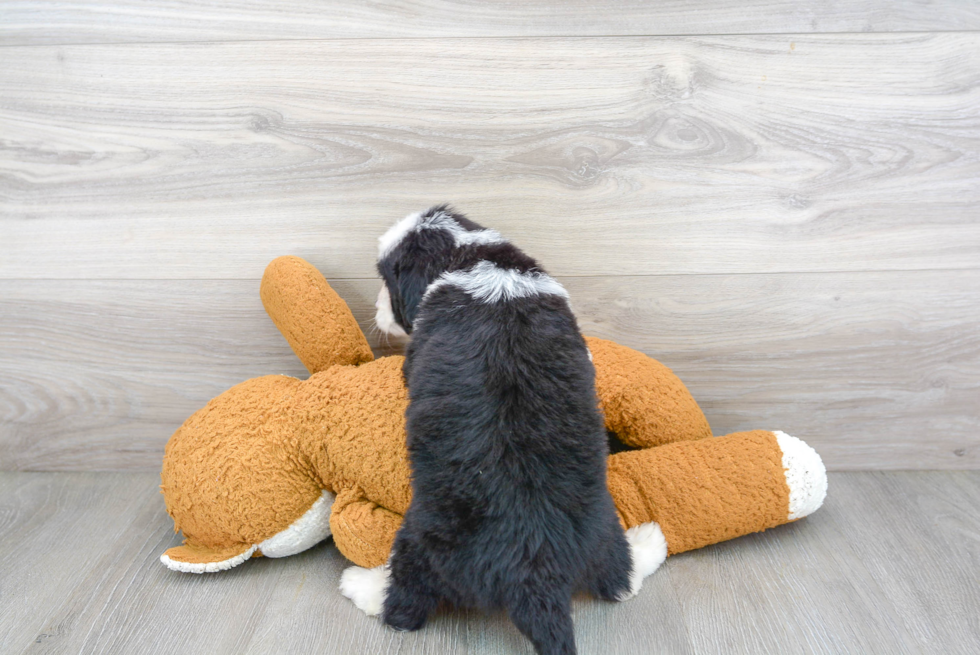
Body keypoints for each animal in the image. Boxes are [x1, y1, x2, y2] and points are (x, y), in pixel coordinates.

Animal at [338, 206, 668, 655]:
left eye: (387, 277)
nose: (375, 309)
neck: (469, 255)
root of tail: (536, 573)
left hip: (420, 543)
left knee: (403, 607)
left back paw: (363, 585)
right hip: (602, 529)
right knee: (619, 580)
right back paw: (649, 543)